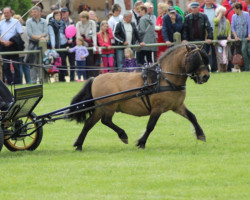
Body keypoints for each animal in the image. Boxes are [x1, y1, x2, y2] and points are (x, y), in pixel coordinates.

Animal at [68, 43, 209, 150]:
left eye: (204, 58)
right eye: (194, 59)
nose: (205, 76)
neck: (163, 79)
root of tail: (95, 78)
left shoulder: (177, 106)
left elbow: (192, 116)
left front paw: (201, 135)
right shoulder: (157, 108)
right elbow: (150, 126)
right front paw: (141, 142)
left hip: (100, 107)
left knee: (89, 123)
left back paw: (79, 145)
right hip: (109, 106)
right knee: (106, 120)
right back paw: (122, 135)